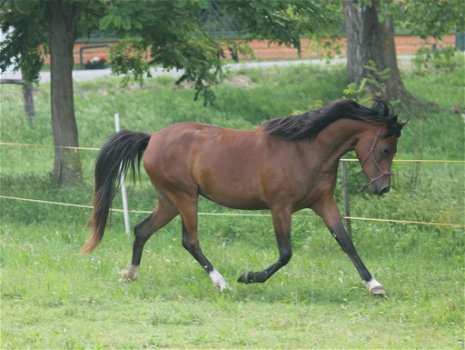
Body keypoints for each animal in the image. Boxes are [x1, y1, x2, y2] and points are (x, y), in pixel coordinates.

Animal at [81, 98, 404, 296]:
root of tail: (152, 139)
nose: (382, 188)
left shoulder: (324, 203)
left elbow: (347, 242)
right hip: (185, 198)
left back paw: (131, 275)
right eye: (386, 149)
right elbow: (285, 254)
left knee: (142, 230)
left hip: (170, 202)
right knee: (190, 241)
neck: (305, 150)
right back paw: (222, 283)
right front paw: (249, 276)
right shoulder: (280, 207)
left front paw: (374, 285)